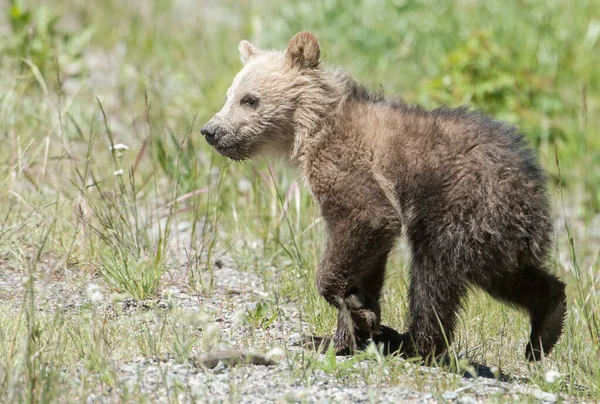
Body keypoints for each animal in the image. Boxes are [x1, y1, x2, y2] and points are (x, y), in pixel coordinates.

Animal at [202, 30, 568, 360]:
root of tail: (533, 184)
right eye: (229, 94)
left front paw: (355, 316)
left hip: (461, 207)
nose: (211, 130)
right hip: (497, 233)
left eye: (250, 99)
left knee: (435, 275)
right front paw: (340, 332)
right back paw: (546, 325)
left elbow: (366, 219)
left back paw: (413, 343)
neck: (312, 128)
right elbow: (368, 263)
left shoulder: (351, 170)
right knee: (507, 276)